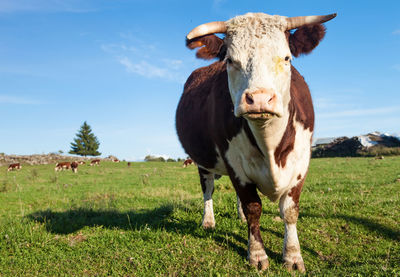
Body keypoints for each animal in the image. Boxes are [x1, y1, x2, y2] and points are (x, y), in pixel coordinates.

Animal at [177, 11, 336, 270]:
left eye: (286, 58)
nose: (259, 99)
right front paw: (257, 254)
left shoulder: (301, 163)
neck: (270, 147)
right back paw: (208, 221)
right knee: (208, 189)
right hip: (203, 161)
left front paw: (293, 256)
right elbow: (253, 207)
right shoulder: (235, 164)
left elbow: (289, 210)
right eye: (231, 60)